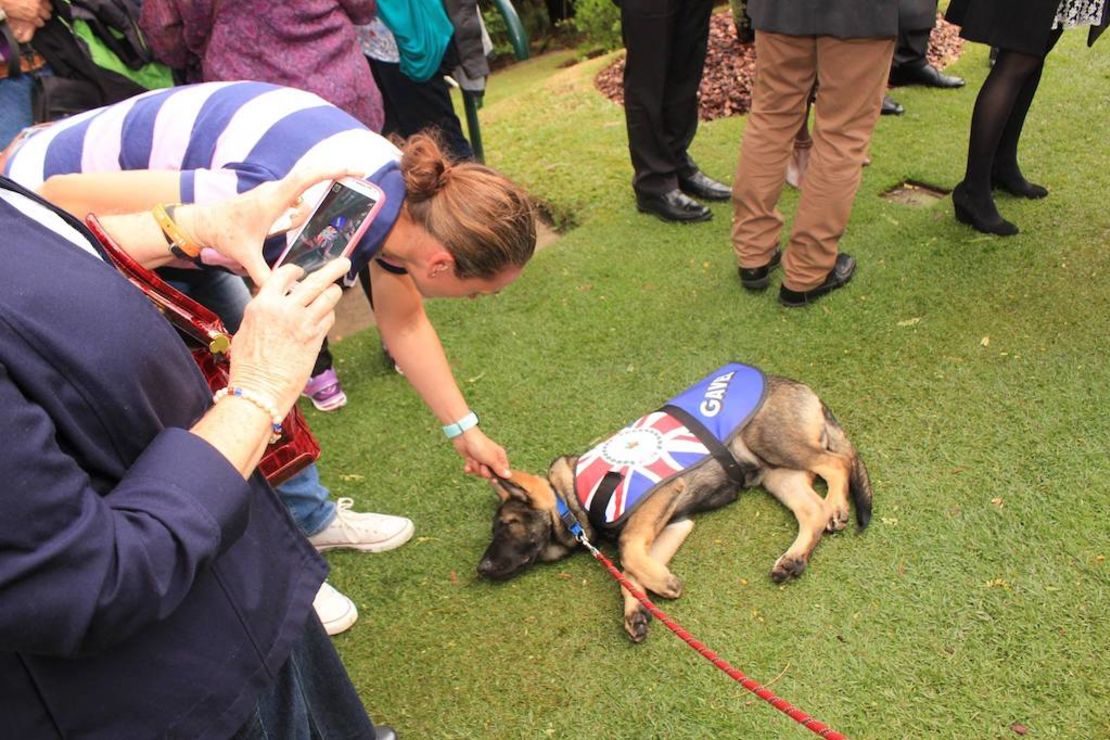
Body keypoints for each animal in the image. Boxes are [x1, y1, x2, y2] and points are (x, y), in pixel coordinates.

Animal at [472, 363, 870, 643]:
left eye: (507, 525)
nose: (481, 568)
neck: (571, 497)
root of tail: (802, 387)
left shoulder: (659, 497)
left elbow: (628, 551)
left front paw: (664, 585)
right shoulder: (677, 523)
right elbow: (629, 570)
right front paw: (636, 608)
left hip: (772, 441)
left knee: (837, 463)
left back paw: (837, 507)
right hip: (777, 475)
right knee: (812, 509)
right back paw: (794, 559)